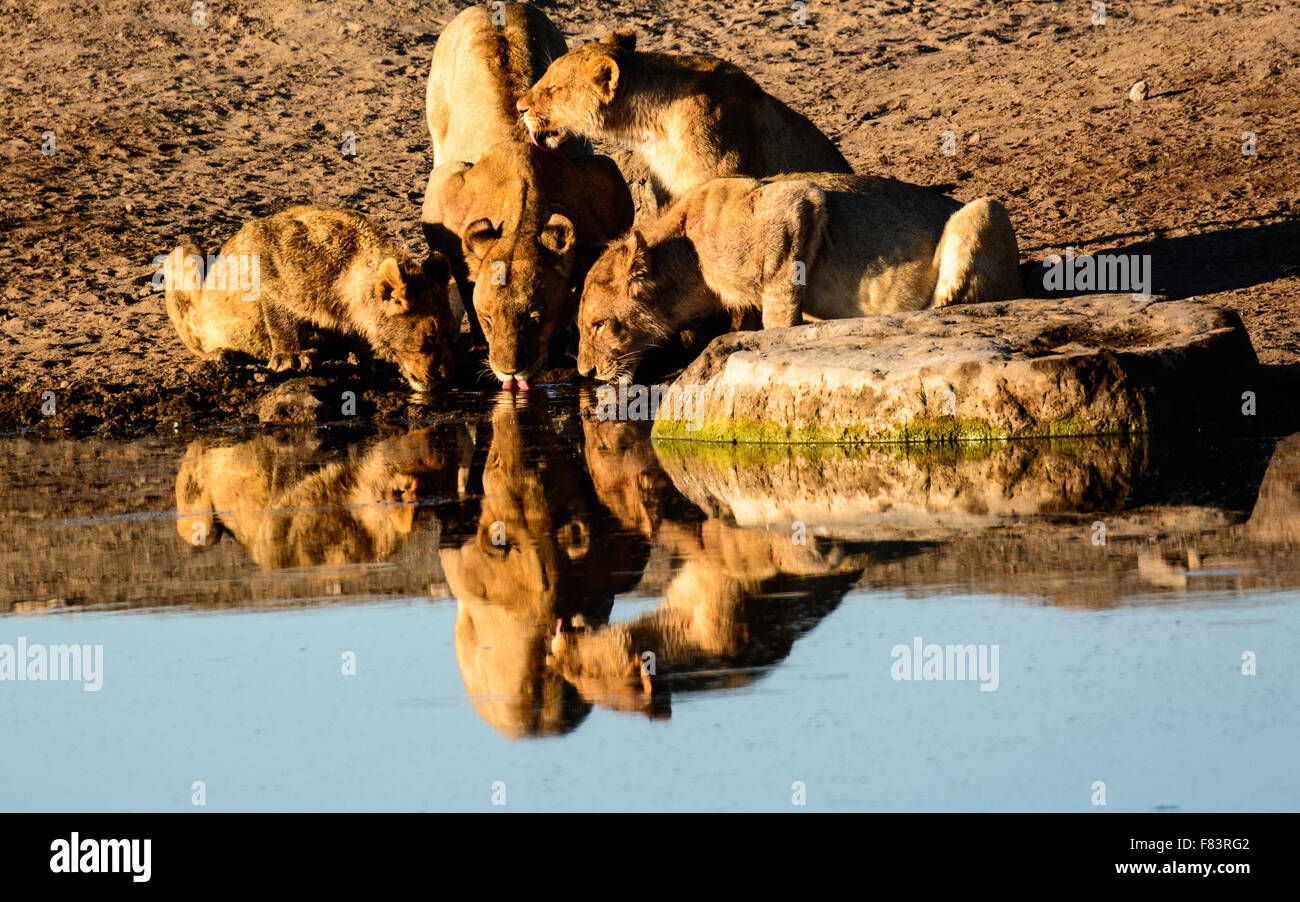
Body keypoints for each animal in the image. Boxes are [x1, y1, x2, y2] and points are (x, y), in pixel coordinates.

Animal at [165, 206, 454, 389]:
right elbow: (280, 317)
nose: (444, 378)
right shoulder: (266, 257)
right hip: (183, 251)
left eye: (450, 334)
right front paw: (290, 358)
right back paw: (221, 354)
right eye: (428, 339)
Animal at [423, 3, 631, 392]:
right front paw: (477, 342)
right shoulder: (442, 198)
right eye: (489, 318)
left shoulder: (603, 180)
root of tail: (492, 5)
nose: (510, 371)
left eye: (535, 317)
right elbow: (463, 276)